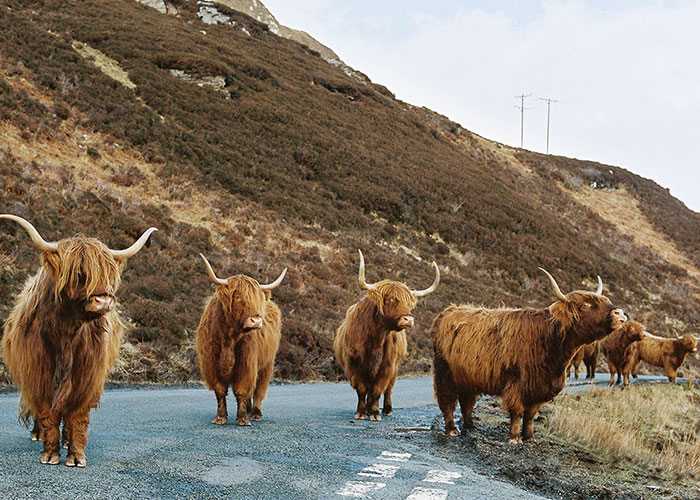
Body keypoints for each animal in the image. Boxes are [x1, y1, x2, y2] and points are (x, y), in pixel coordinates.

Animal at [0, 214, 156, 464]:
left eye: (107, 274)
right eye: (78, 273)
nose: (103, 301)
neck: (66, 332)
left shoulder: (87, 376)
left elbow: (78, 416)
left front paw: (75, 454)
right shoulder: (38, 372)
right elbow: (47, 412)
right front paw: (50, 453)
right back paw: (38, 434)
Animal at [196, 254, 286, 426]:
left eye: (257, 299)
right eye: (237, 297)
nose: (256, 321)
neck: (228, 338)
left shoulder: (247, 363)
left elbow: (242, 390)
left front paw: (243, 419)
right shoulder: (211, 364)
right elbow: (220, 390)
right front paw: (220, 418)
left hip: (267, 364)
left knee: (259, 390)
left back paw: (255, 413)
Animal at [332, 250, 438, 422]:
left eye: (408, 302)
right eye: (390, 299)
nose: (408, 319)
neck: (375, 340)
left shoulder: (387, 366)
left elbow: (377, 389)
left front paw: (375, 413)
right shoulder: (354, 365)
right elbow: (361, 389)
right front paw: (361, 412)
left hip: (395, 368)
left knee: (389, 389)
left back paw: (387, 409)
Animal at [430, 272, 628, 444]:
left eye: (606, 301)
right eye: (585, 305)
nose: (619, 313)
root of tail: (447, 311)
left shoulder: (539, 386)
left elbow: (531, 415)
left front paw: (530, 437)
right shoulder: (516, 383)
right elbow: (517, 412)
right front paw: (514, 438)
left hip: (468, 377)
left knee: (467, 403)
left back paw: (470, 427)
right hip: (445, 372)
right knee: (447, 400)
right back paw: (452, 429)